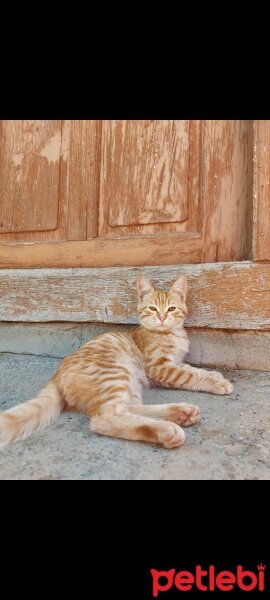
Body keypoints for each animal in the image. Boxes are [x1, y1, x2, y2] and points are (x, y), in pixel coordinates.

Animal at [0, 274, 232, 448]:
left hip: (130, 381)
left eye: (171, 309)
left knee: (129, 408)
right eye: (152, 309)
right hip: (114, 373)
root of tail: (57, 374)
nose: (162, 318)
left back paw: (181, 412)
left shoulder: (174, 362)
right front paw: (217, 382)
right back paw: (166, 429)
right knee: (106, 417)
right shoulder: (161, 367)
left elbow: (194, 369)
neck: (170, 334)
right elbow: (188, 374)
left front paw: (214, 375)